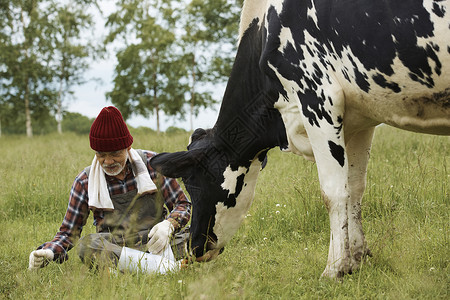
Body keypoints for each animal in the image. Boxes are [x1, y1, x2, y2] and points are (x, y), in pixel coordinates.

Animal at [152, 0, 450, 278]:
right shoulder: (360, 119)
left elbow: (333, 192)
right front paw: (357, 260)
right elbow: (354, 188)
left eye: (193, 183)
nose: (194, 248)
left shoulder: (318, 98)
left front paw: (335, 269)